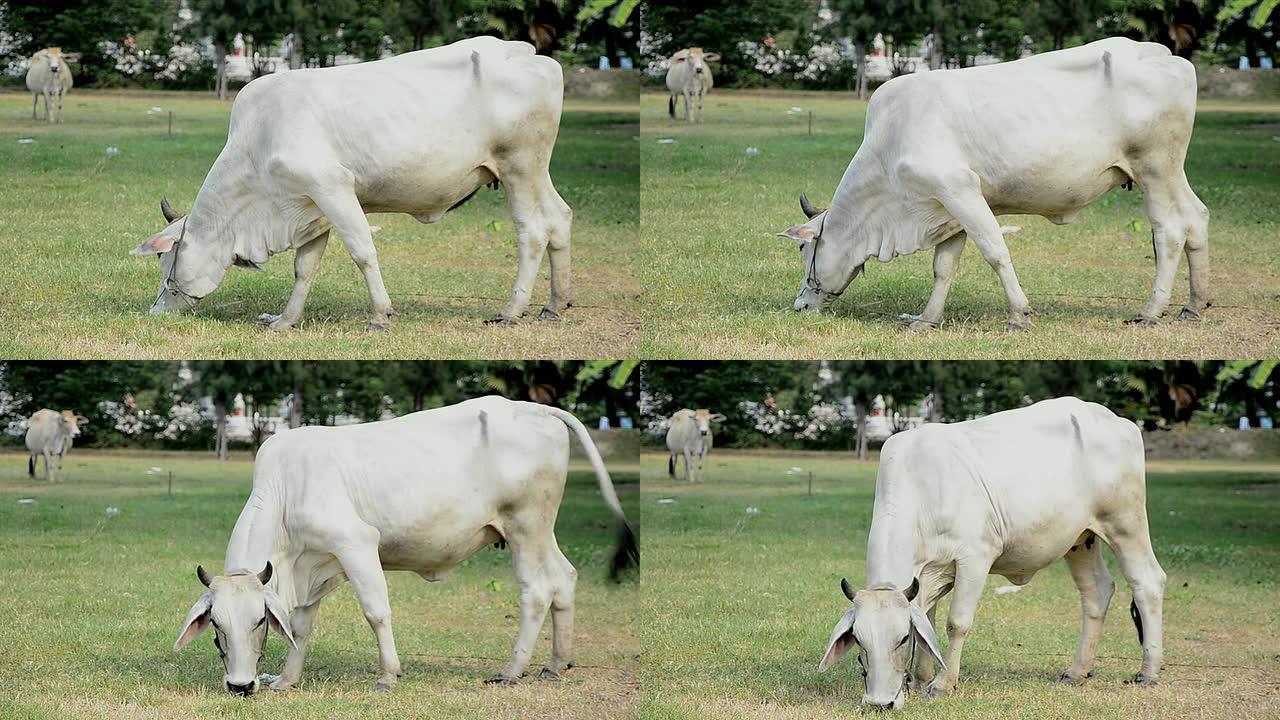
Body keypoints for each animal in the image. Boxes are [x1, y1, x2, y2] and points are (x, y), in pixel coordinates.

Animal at [129, 37, 570, 330]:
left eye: (165, 261)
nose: (156, 310)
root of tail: (526, 52)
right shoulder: (309, 208)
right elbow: (304, 268)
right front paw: (285, 321)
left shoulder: (332, 187)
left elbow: (362, 251)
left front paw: (380, 315)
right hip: (536, 171)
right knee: (559, 219)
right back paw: (555, 305)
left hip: (519, 167)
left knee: (532, 231)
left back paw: (511, 311)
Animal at [177, 394, 637, 691]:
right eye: (216, 626)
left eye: (258, 621)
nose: (240, 685)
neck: (285, 489)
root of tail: (533, 407)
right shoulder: (314, 565)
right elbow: (301, 627)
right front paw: (287, 681)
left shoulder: (356, 544)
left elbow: (376, 612)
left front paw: (387, 675)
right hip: (541, 530)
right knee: (565, 579)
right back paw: (557, 664)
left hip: (525, 526)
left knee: (538, 590)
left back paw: (512, 670)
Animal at [778, 37, 1208, 330]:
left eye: (802, 246)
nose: (800, 305)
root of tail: (1163, 54)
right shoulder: (945, 209)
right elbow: (943, 267)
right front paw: (926, 320)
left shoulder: (958, 190)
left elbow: (995, 251)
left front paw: (1018, 314)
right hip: (1170, 173)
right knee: (1196, 218)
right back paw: (1193, 305)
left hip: (1155, 169)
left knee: (1170, 230)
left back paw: (1151, 311)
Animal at [819, 397, 1172, 707]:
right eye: (859, 640)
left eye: (902, 638)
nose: (880, 703)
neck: (923, 489)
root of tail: (1118, 421)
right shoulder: (926, 577)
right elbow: (928, 624)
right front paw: (921, 680)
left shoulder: (974, 558)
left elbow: (956, 622)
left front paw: (943, 683)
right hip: (1080, 539)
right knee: (1096, 591)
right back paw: (1077, 670)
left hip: (1125, 523)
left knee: (1147, 582)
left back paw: (1148, 671)